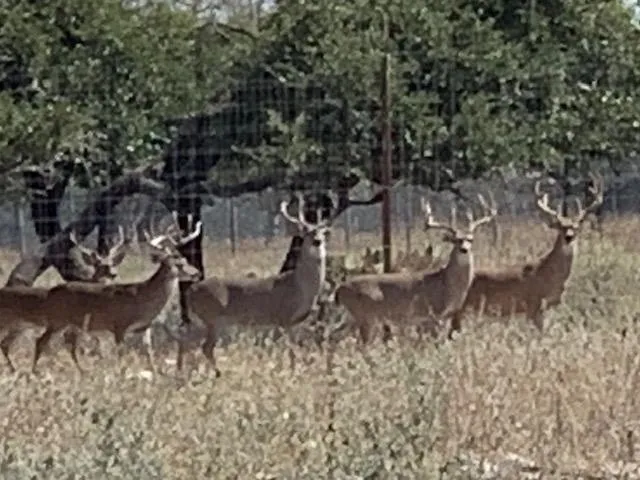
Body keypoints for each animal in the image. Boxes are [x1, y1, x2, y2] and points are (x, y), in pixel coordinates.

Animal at [0, 227, 129, 374]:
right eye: (98, 266)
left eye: (113, 264)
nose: (113, 273)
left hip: (19, 326)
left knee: (5, 344)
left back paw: (15, 369)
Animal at [30, 214, 202, 376]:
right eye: (178, 264)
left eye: (186, 259)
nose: (197, 273)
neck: (143, 296)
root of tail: (49, 292)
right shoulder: (119, 323)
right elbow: (121, 353)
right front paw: (122, 374)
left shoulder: (145, 326)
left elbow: (149, 352)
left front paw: (154, 373)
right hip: (57, 319)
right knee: (41, 341)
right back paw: (34, 372)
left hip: (72, 324)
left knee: (68, 343)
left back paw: (82, 371)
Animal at [178, 193, 332, 376]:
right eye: (306, 233)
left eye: (322, 233)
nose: (317, 241)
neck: (300, 286)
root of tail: (191, 291)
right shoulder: (284, 317)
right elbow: (291, 350)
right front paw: (293, 371)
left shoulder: (293, 322)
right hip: (213, 317)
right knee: (205, 347)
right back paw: (218, 373)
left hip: (200, 320)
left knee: (185, 342)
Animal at [332, 193, 498, 346]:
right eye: (456, 240)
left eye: (470, 239)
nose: (464, 249)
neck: (447, 285)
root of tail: (340, 288)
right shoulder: (431, 315)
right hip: (366, 316)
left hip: (353, 318)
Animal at [450, 173, 604, 338]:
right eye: (560, 227)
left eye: (576, 227)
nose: (569, 237)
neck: (547, 272)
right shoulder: (533, 305)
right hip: (462, 309)